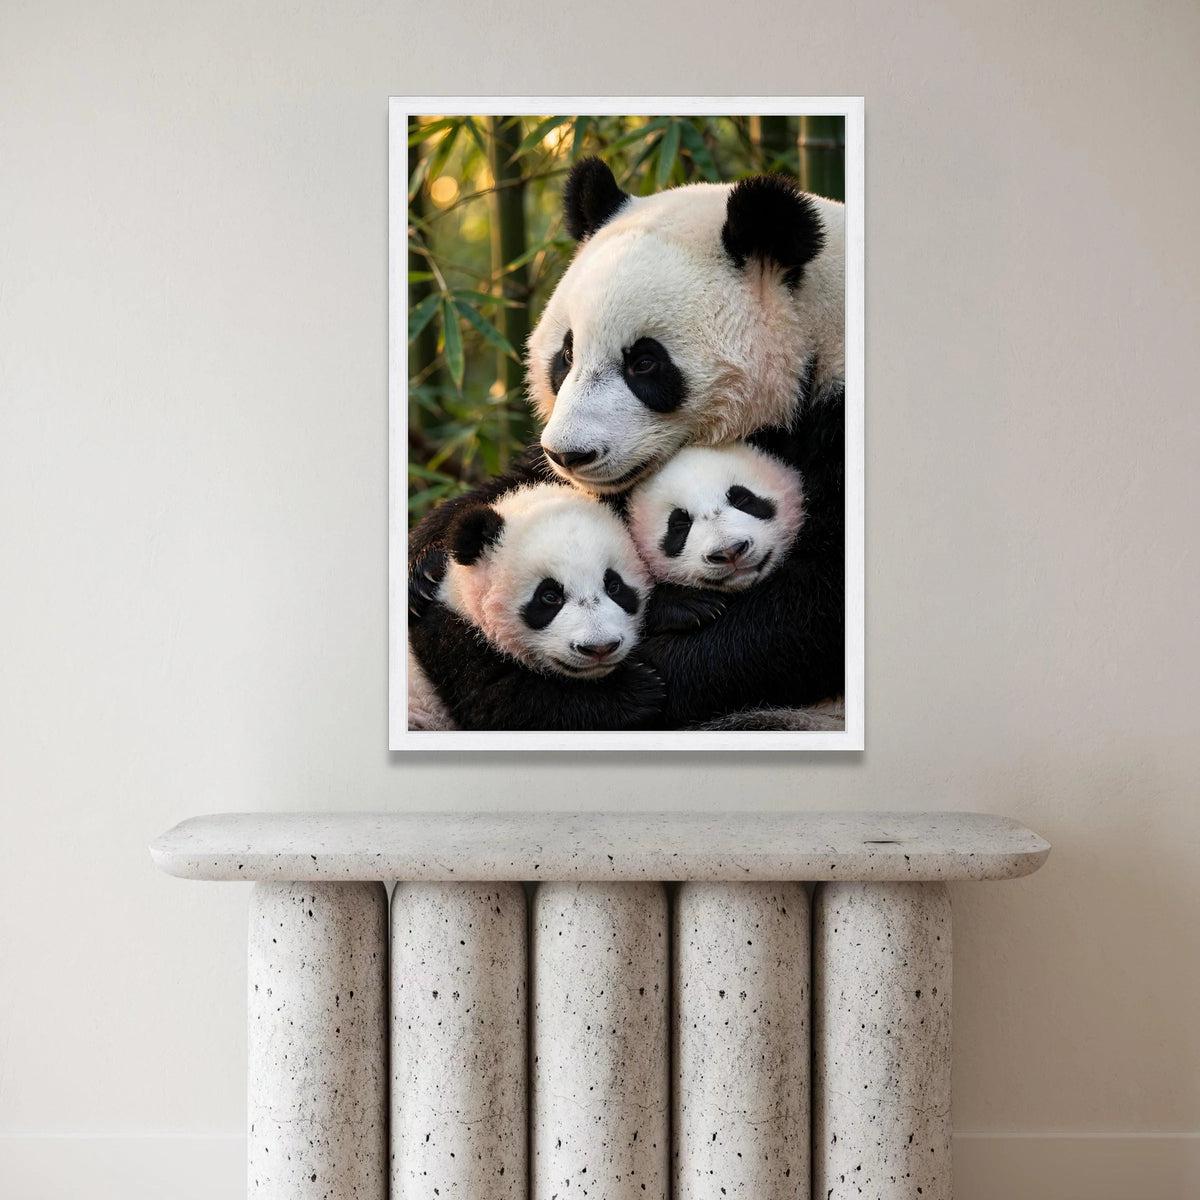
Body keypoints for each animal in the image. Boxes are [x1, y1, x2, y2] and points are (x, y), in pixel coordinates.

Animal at [408, 482, 667, 731]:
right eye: (549, 596)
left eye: (614, 586)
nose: (600, 648)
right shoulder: (452, 645)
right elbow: (502, 703)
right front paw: (635, 690)